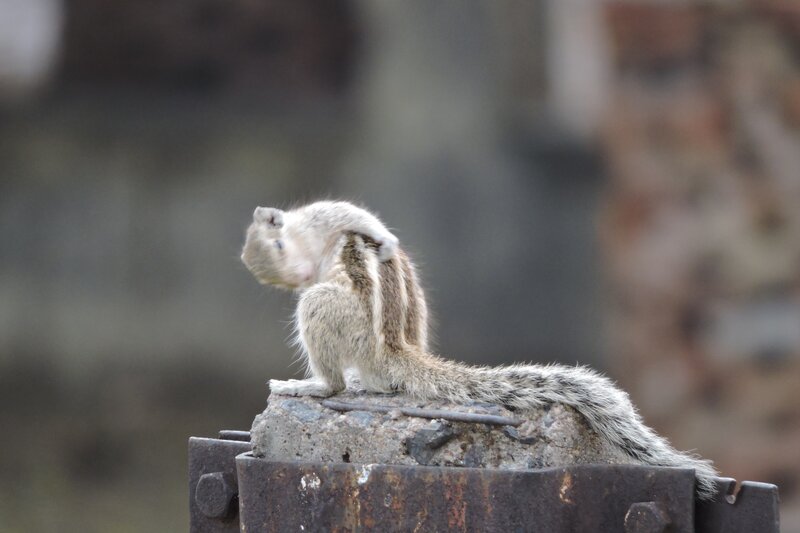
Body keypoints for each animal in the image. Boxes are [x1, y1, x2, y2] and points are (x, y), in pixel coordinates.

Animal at [241, 200, 718, 499]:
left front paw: (383, 239)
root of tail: (395, 349)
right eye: (268, 273)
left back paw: (309, 385)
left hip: (322, 306)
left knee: (335, 383)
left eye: (279, 244)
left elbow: (359, 218)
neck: (305, 238)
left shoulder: (325, 216)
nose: (299, 276)